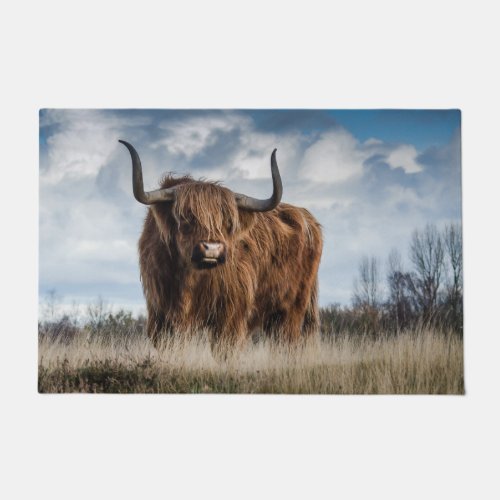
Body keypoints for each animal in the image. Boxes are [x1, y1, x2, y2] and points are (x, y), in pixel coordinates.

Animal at [121, 141, 324, 352]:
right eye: (186, 217)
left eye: (228, 221)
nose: (212, 248)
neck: (189, 279)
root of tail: (307, 218)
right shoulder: (160, 314)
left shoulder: (230, 315)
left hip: (292, 310)